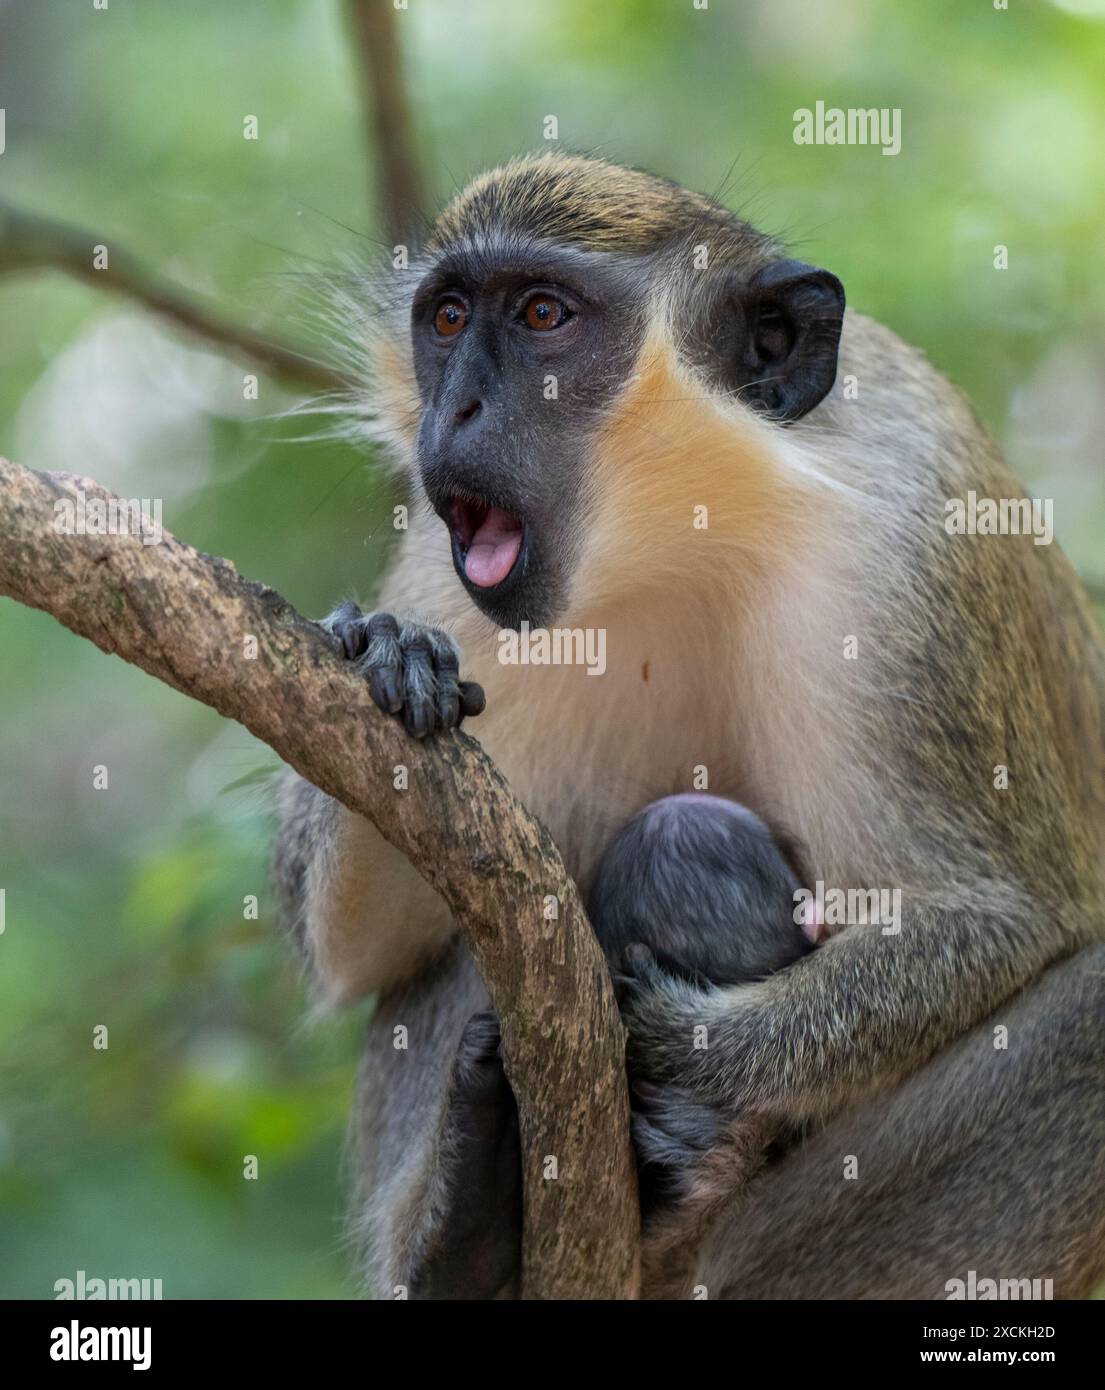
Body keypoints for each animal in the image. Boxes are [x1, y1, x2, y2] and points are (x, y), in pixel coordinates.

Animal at [274, 151, 1105, 1300]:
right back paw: (465, 1232)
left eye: (543, 315)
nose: (459, 410)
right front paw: (383, 652)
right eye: (445, 319)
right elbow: (363, 944)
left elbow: (996, 914)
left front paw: (679, 1044)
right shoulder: (450, 585)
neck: (692, 533)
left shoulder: (914, 545)